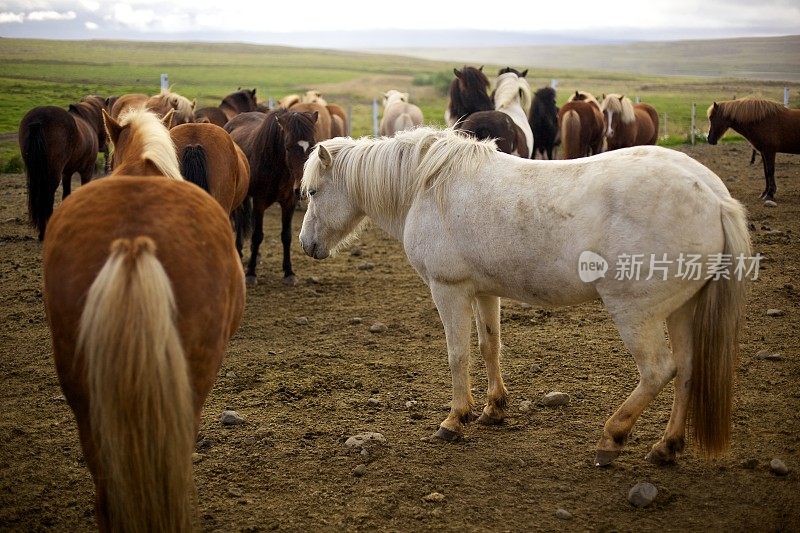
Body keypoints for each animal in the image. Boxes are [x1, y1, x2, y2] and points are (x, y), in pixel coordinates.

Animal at [18, 96, 106, 240]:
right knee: (47, 198)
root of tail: (39, 119)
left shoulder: (66, 173)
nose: (104, 145)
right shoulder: (86, 171)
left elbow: (66, 195)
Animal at [225, 109, 318, 286]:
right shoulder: (259, 202)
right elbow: (257, 236)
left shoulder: (289, 203)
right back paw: (238, 252)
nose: (302, 189)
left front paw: (289, 272)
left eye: (312, 147)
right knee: (238, 220)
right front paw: (251, 273)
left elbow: (286, 236)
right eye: (287, 147)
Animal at [298, 128, 752, 466]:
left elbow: (458, 355)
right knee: (688, 370)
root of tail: (714, 198)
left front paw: (454, 420)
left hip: (635, 314)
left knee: (659, 371)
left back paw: (612, 437)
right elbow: (489, 346)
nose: (306, 245)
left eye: (313, 192)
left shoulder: (448, 290)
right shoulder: (482, 292)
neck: (429, 187)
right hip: (681, 310)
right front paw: (493, 409)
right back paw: (666, 447)